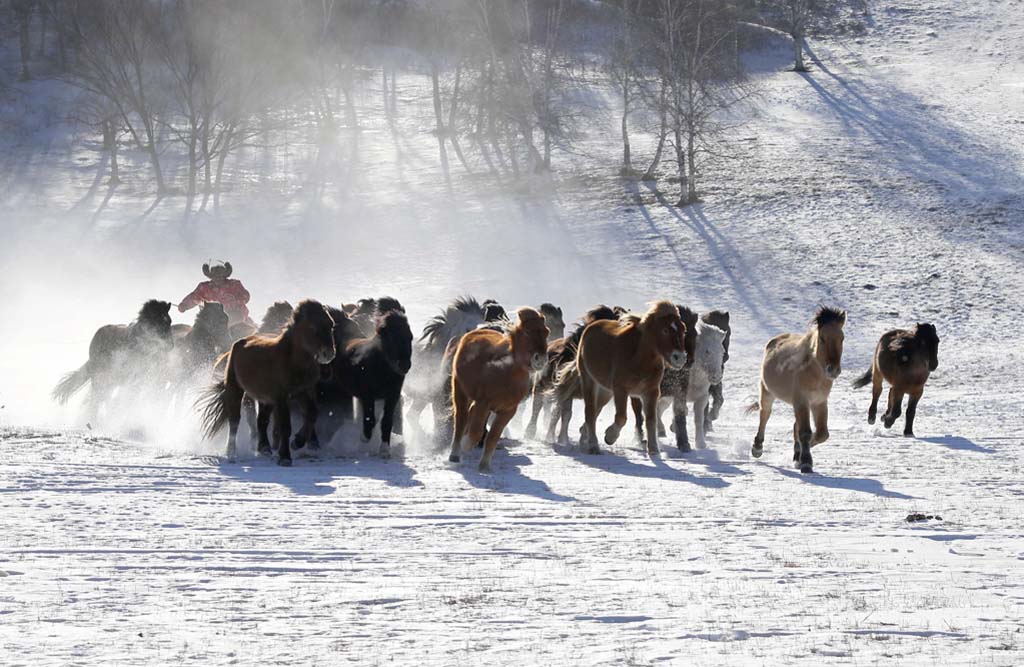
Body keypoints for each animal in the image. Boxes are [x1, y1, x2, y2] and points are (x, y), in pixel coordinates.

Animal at [201, 299, 337, 467]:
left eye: (331, 325)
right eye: (313, 327)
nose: (328, 353)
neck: (291, 359)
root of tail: (239, 343)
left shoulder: (300, 392)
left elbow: (312, 414)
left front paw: (297, 442)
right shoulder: (281, 397)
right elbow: (284, 426)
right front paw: (285, 457)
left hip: (265, 399)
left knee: (261, 421)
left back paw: (264, 448)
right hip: (236, 389)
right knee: (235, 420)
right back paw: (231, 452)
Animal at [444, 305, 548, 471]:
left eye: (546, 332)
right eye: (527, 332)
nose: (541, 360)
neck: (505, 374)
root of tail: (473, 333)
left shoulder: (508, 411)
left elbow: (493, 437)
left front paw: (485, 466)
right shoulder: (483, 404)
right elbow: (475, 432)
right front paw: (465, 446)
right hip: (460, 391)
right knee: (460, 421)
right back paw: (455, 454)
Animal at [577, 303, 688, 456]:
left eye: (683, 329)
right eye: (665, 330)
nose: (680, 358)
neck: (638, 358)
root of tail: (590, 327)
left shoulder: (651, 392)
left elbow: (651, 420)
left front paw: (654, 450)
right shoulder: (621, 390)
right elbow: (621, 417)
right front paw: (609, 437)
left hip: (606, 390)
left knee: (596, 410)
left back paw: (584, 437)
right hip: (589, 381)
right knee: (590, 412)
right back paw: (593, 446)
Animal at [749, 307, 843, 475]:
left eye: (842, 339)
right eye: (822, 339)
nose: (833, 370)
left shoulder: (819, 402)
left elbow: (822, 433)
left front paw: (798, 456)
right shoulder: (801, 400)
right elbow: (805, 432)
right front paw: (805, 462)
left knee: (795, 426)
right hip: (767, 391)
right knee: (765, 415)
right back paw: (757, 447)